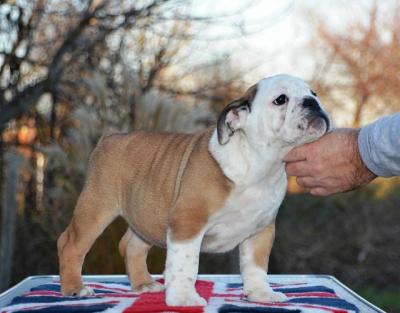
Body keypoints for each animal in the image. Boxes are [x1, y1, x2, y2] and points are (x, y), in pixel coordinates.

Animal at [57, 73, 330, 304]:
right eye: (280, 99)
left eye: (313, 93)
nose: (313, 103)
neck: (260, 164)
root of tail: (111, 137)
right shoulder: (187, 224)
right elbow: (185, 264)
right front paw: (183, 298)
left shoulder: (260, 231)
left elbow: (256, 266)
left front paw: (261, 293)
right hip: (96, 207)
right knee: (70, 243)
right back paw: (75, 288)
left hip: (146, 217)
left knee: (130, 246)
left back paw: (144, 284)